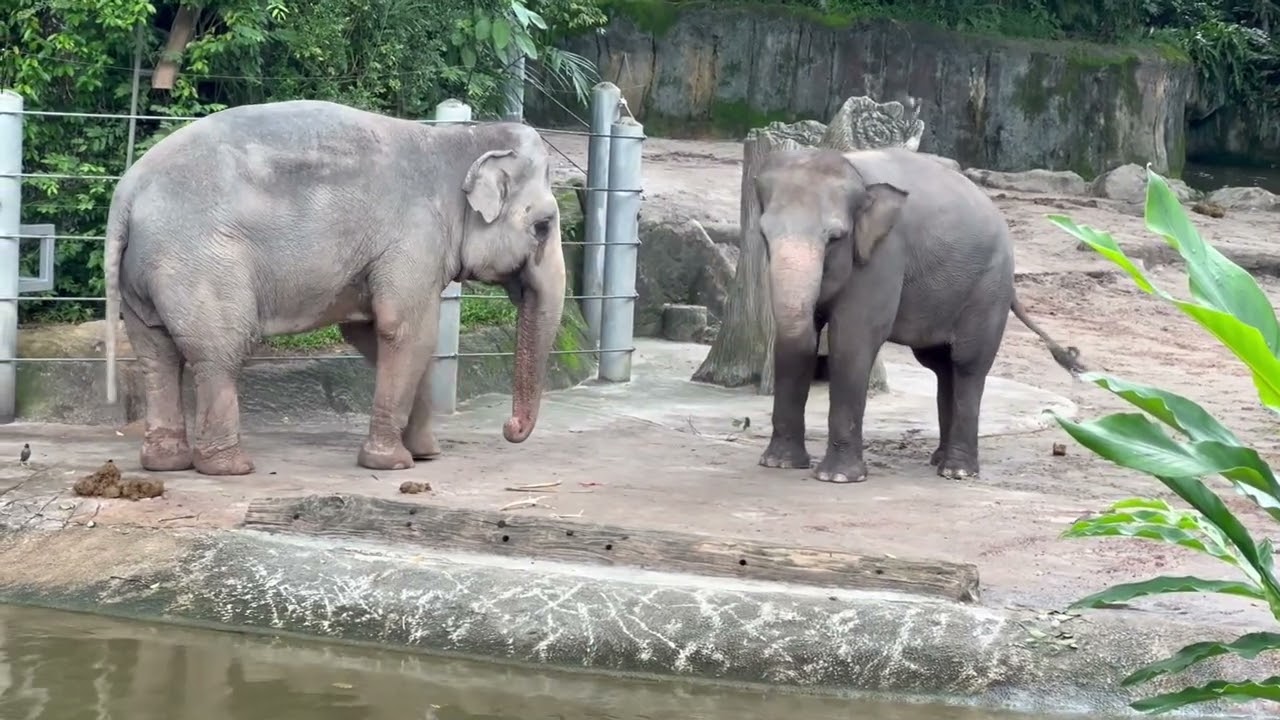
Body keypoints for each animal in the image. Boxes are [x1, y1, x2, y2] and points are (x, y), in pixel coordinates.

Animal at [102, 99, 567, 476]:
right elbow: (409, 332)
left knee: (155, 353)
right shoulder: (413, 237)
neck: (459, 141)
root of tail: (127, 193)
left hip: (144, 272)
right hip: (201, 262)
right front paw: (393, 463)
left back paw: (165, 463)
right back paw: (230, 468)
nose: (510, 428)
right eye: (544, 226)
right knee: (221, 351)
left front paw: (425, 454)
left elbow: (372, 334)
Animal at [752, 146, 1084, 484]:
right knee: (941, 366)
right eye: (764, 235)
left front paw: (838, 478)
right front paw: (780, 464)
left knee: (968, 364)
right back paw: (939, 459)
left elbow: (853, 339)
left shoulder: (885, 254)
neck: (853, 169)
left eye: (835, 237)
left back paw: (957, 471)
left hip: (989, 288)